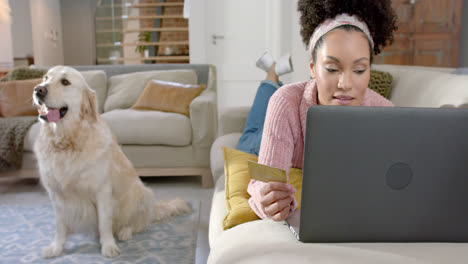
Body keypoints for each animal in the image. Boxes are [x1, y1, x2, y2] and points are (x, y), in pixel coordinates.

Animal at [33, 66, 191, 258]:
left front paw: (108, 246)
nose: (38, 89)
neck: (66, 143)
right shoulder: (56, 194)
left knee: (139, 223)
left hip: (142, 193)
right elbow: (60, 225)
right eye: (45, 78)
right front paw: (56, 247)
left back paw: (125, 232)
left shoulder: (102, 191)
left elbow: (104, 223)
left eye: (65, 82)